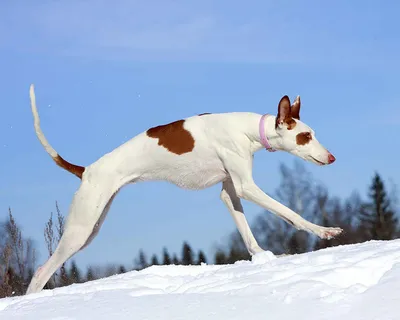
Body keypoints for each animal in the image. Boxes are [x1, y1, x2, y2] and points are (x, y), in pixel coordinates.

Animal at [26, 84, 342, 294]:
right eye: (305, 136)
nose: (331, 157)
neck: (246, 129)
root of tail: (87, 169)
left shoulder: (229, 192)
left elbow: (247, 234)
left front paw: (262, 258)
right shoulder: (246, 187)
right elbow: (289, 212)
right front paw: (324, 231)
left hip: (91, 227)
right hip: (79, 230)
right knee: (41, 273)